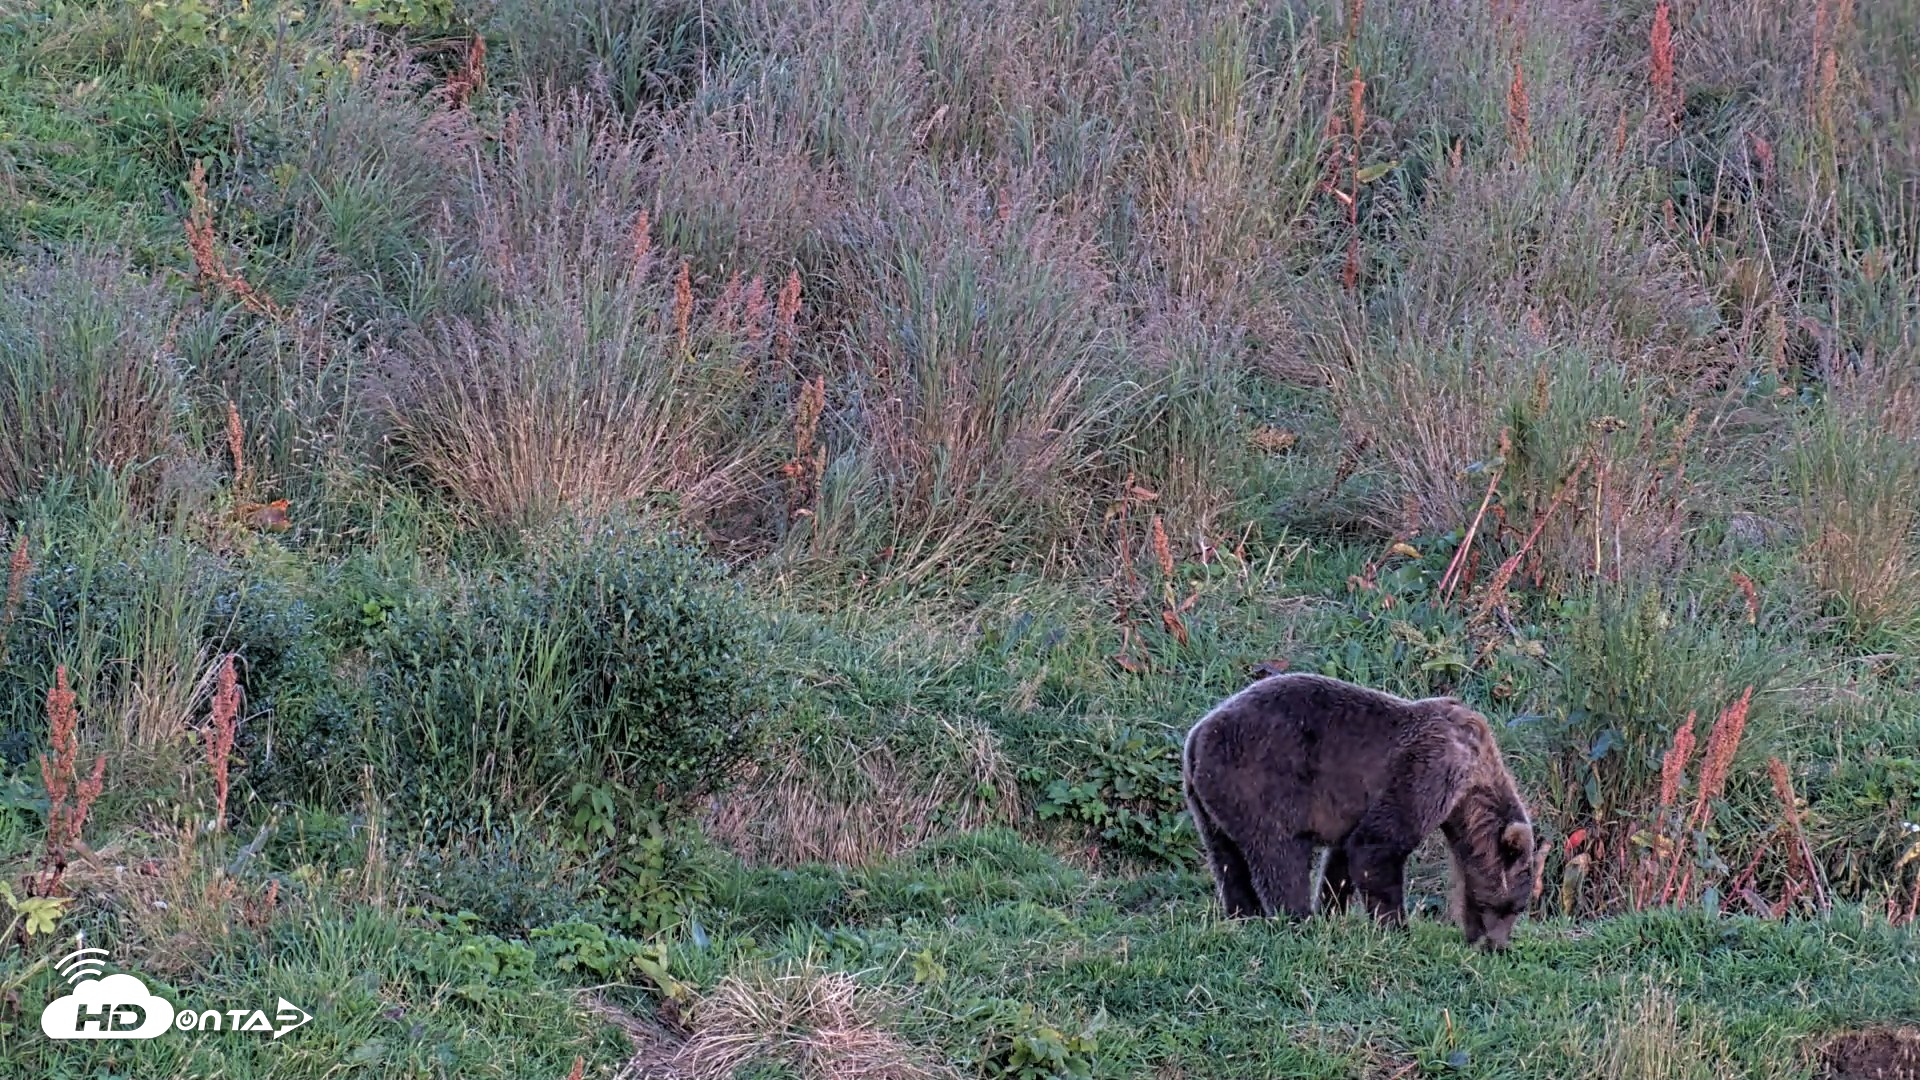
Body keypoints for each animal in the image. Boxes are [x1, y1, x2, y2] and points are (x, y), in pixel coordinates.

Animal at [1182, 672, 1543, 950]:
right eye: (1513, 906)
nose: (1497, 946)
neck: (1469, 792)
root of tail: (1196, 736)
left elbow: (1342, 859)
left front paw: (1332, 910)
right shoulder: (1429, 770)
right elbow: (1377, 847)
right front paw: (1397, 929)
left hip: (1210, 803)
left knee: (1227, 860)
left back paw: (1244, 915)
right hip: (1257, 783)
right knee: (1280, 856)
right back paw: (1296, 919)